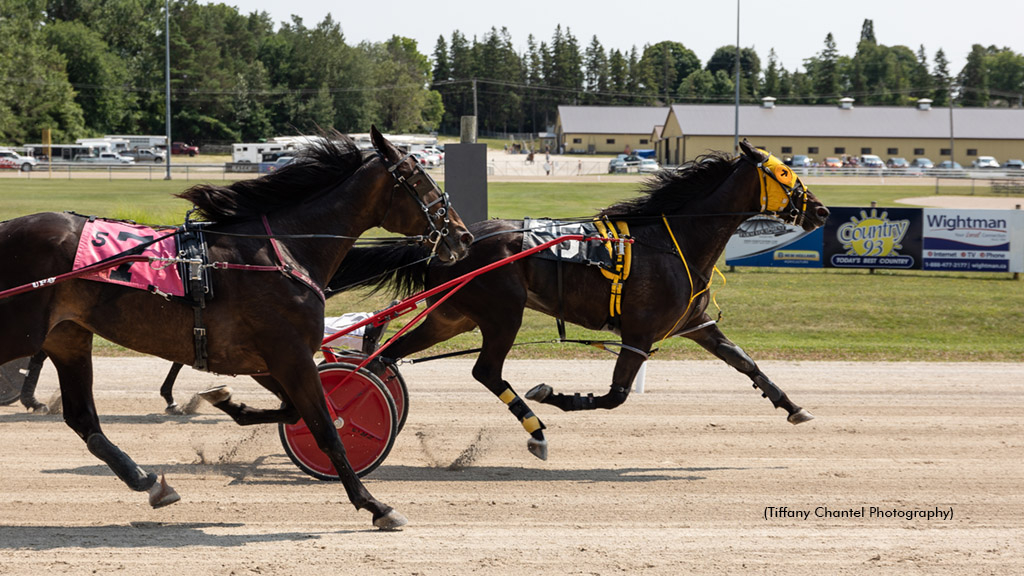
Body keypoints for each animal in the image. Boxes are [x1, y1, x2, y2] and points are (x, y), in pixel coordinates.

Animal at [0, 126, 473, 528]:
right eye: (418, 178)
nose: (463, 236)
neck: (281, 248)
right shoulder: (289, 353)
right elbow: (326, 427)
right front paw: (375, 504)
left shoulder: (266, 359)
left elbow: (293, 411)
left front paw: (226, 401)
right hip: (23, 330)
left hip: (68, 336)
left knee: (84, 420)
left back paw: (148, 482)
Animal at [327, 141, 831, 459]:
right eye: (784, 173)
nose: (822, 211)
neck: (674, 241)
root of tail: (451, 243)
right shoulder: (639, 333)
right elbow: (614, 396)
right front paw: (554, 395)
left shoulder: (695, 324)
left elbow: (744, 361)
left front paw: (793, 407)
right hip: (502, 313)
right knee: (484, 371)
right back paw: (535, 429)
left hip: (454, 314)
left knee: (387, 357)